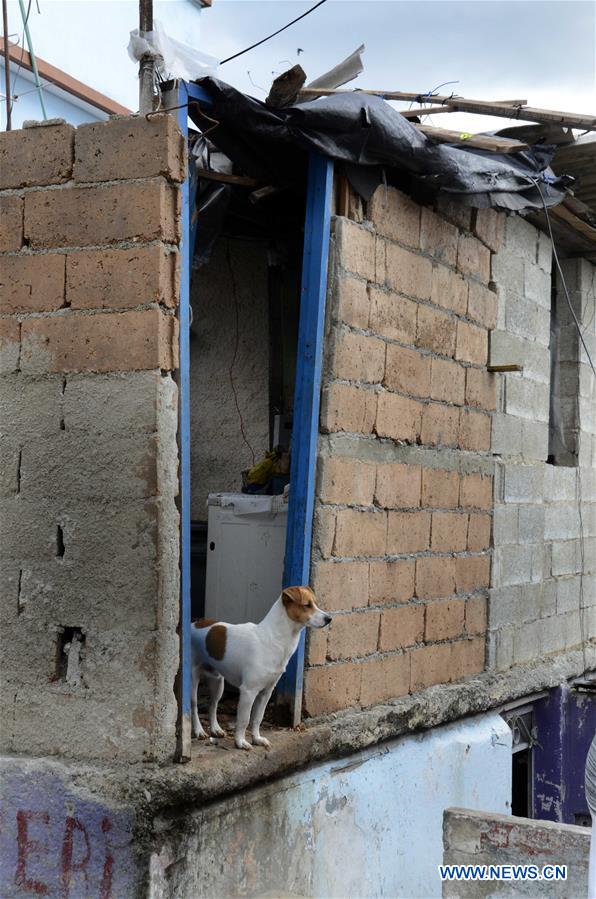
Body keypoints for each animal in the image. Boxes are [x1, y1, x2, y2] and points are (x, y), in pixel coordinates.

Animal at [191, 588, 330, 748]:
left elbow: (258, 718)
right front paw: (240, 742)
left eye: (316, 604)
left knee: (213, 705)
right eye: (307, 605)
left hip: (218, 683)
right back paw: (199, 731)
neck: (274, 639)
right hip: (192, 683)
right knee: (193, 707)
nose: (329, 618)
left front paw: (256, 738)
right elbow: (244, 720)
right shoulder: (248, 691)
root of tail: (193, 624)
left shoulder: (266, 692)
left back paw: (215, 729)